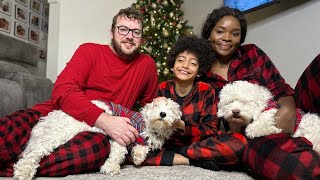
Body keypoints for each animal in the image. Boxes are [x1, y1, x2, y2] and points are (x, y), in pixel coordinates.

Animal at [13, 97, 181, 180]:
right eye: (157, 106)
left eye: (171, 110)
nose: (163, 113)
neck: (148, 126)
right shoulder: (121, 134)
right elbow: (118, 153)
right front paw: (111, 167)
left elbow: (142, 147)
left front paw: (138, 157)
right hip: (58, 133)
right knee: (33, 153)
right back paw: (24, 171)